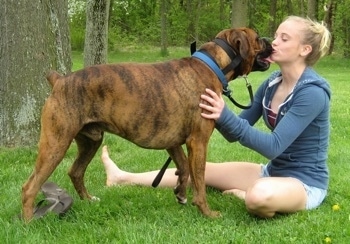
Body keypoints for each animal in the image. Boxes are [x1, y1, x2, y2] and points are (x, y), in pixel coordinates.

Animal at [21, 27, 272, 221]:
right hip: (55, 144)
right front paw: (206, 212)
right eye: (257, 38)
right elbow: (199, 180)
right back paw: (29, 221)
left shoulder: (174, 142)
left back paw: (89, 200)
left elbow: (183, 168)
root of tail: (60, 80)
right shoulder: (198, 142)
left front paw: (180, 192)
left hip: (90, 141)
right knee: (30, 186)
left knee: (75, 172)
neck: (213, 64)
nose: (270, 41)